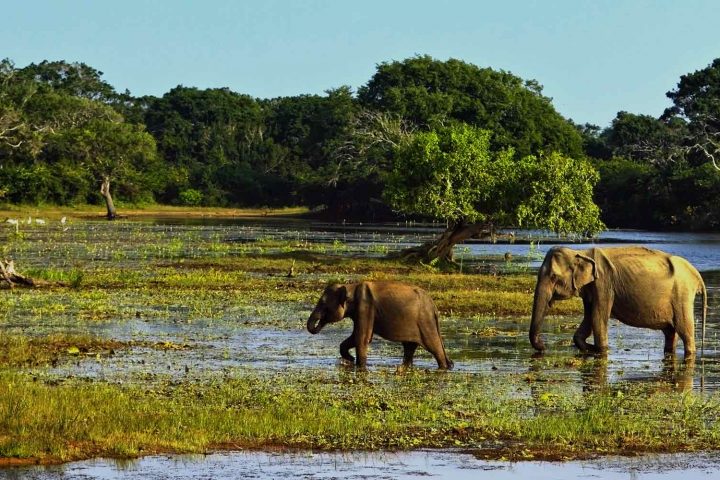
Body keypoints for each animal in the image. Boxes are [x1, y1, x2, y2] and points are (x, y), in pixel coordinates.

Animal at [306, 284, 452, 370]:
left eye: (323, 303)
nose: (350, 360)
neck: (350, 286)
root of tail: (434, 306)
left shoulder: (365, 307)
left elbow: (362, 338)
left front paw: (358, 365)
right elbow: (355, 337)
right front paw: (350, 359)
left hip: (425, 322)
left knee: (434, 346)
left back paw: (444, 367)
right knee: (409, 348)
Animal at [528, 248, 708, 356]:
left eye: (553, 277)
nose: (544, 347)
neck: (580, 252)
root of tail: (696, 275)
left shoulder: (604, 284)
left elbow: (597, 319)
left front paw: (602, 349)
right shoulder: (591, 288)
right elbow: (587, 320)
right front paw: (592, 349)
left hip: (682, 295)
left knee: (684, 330)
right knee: (670, 332)